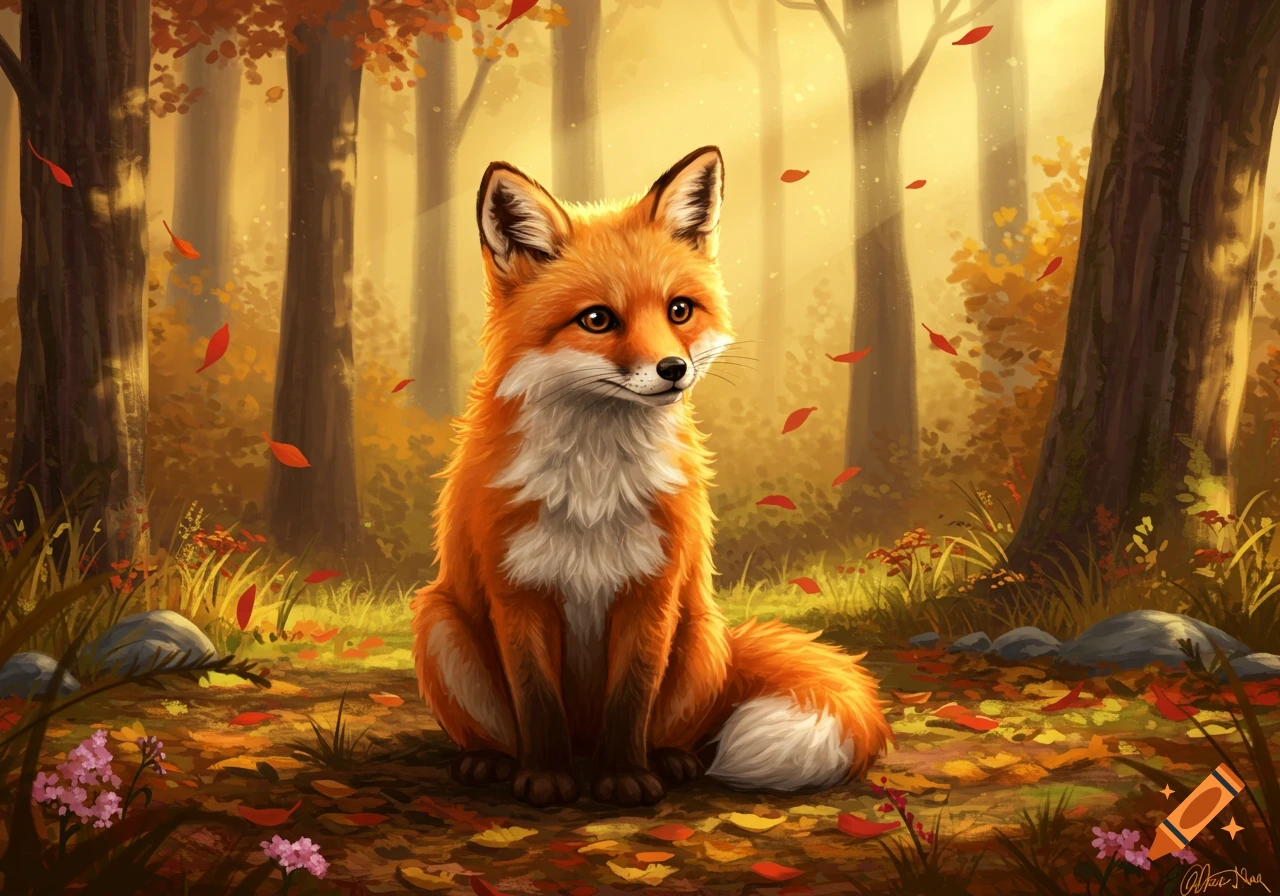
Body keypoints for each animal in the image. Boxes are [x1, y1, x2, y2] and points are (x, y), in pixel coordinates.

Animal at [411, 146, 891, 808]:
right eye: (597, 319)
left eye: (679, 310)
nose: (673, 369)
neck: (592, 484)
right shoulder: (518, 590)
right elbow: (537, 701)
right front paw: (545, 777)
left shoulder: (651, 589)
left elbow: (631, 697)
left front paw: (625, 777)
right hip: (438, 622)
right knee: (498, 728)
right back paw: (492, 760)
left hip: (702, 637)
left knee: (677, 726)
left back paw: (667, 759)